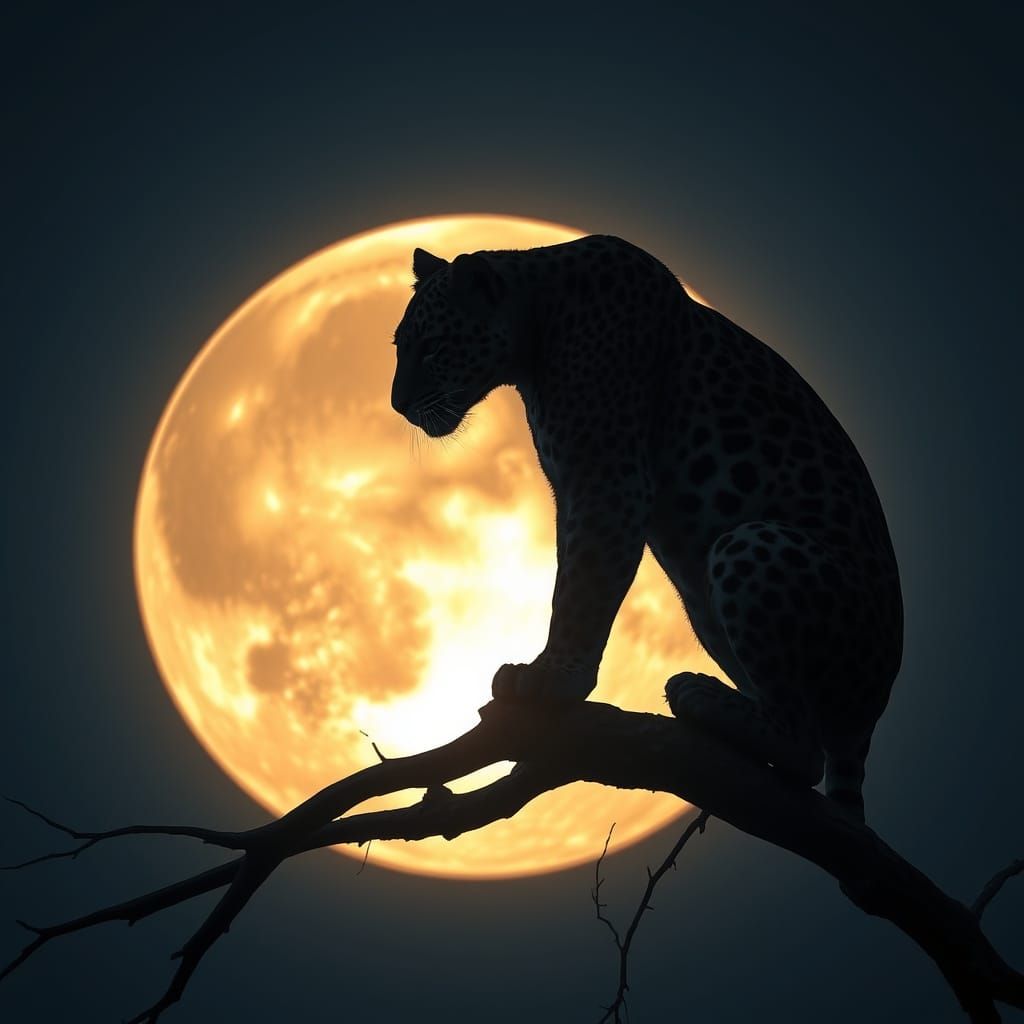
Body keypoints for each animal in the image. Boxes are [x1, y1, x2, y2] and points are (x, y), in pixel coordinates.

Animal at [390, 234, 903, 820]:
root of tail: (870, 719)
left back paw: (701, 696)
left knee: (804, 746)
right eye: (399, 346)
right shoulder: (575, 490)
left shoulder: (609, 482)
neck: (537, 323)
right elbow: (571, 582)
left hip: (747, 542)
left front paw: (552, 679)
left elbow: (582, 591)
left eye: (432, 348)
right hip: (702, 604)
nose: (397, 404)